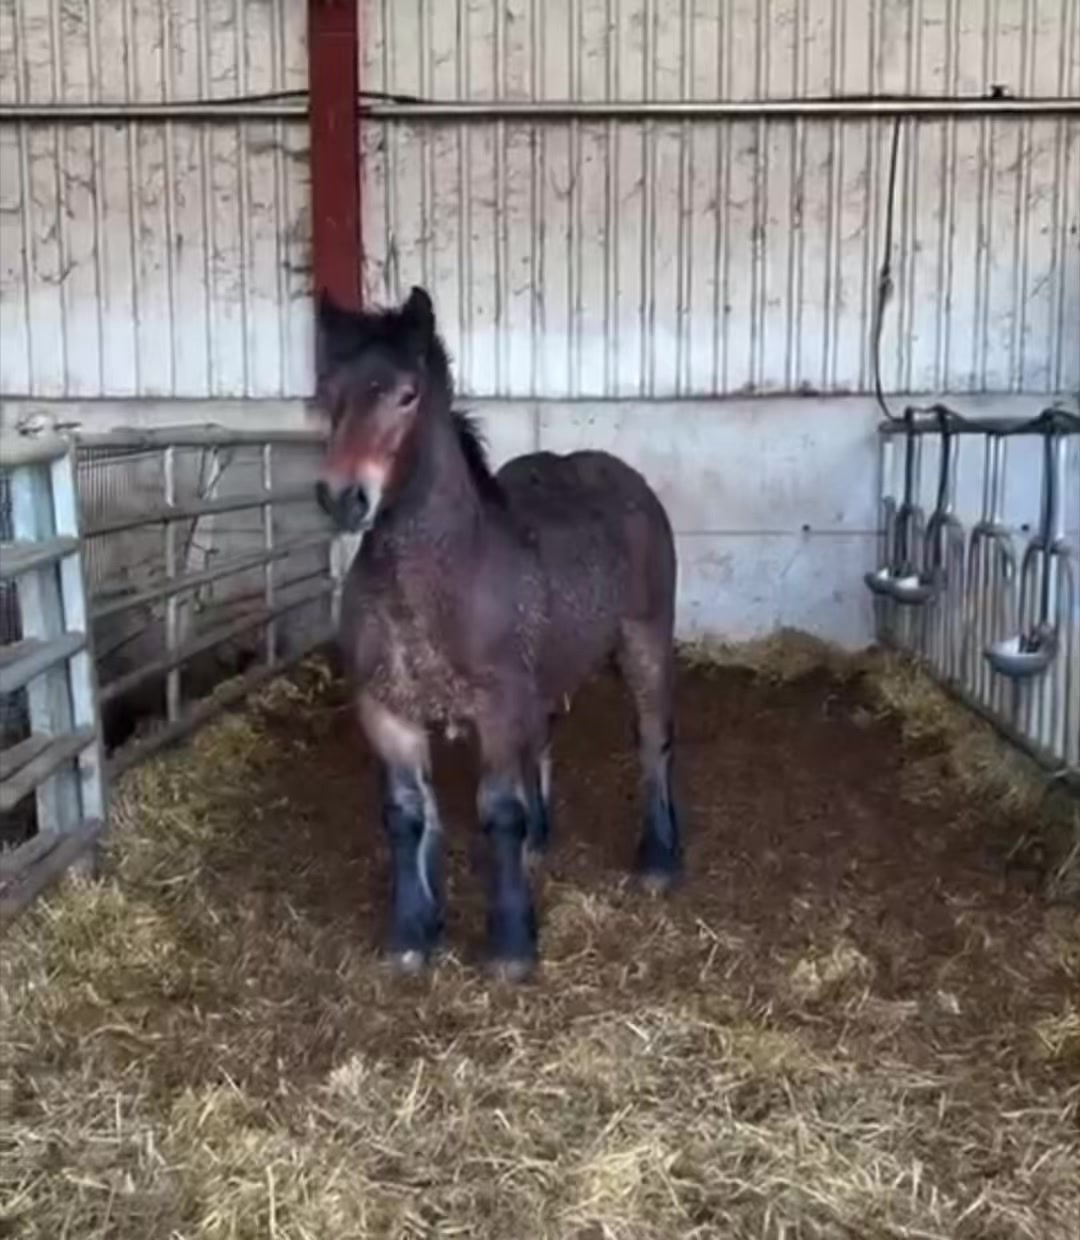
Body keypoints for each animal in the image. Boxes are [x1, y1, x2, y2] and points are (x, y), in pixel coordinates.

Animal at [313, 286, 683, 980]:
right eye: (326, 393)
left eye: (406, 394)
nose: (342, 498)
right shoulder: (387, 710)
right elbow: (407, 816)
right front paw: (412, 932)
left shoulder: (498, 708)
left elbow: (498, 813)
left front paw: (511, 945)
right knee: (545, 744)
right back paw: (544, 839)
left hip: (646, 639)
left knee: (653, 741)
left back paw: (660, 858)